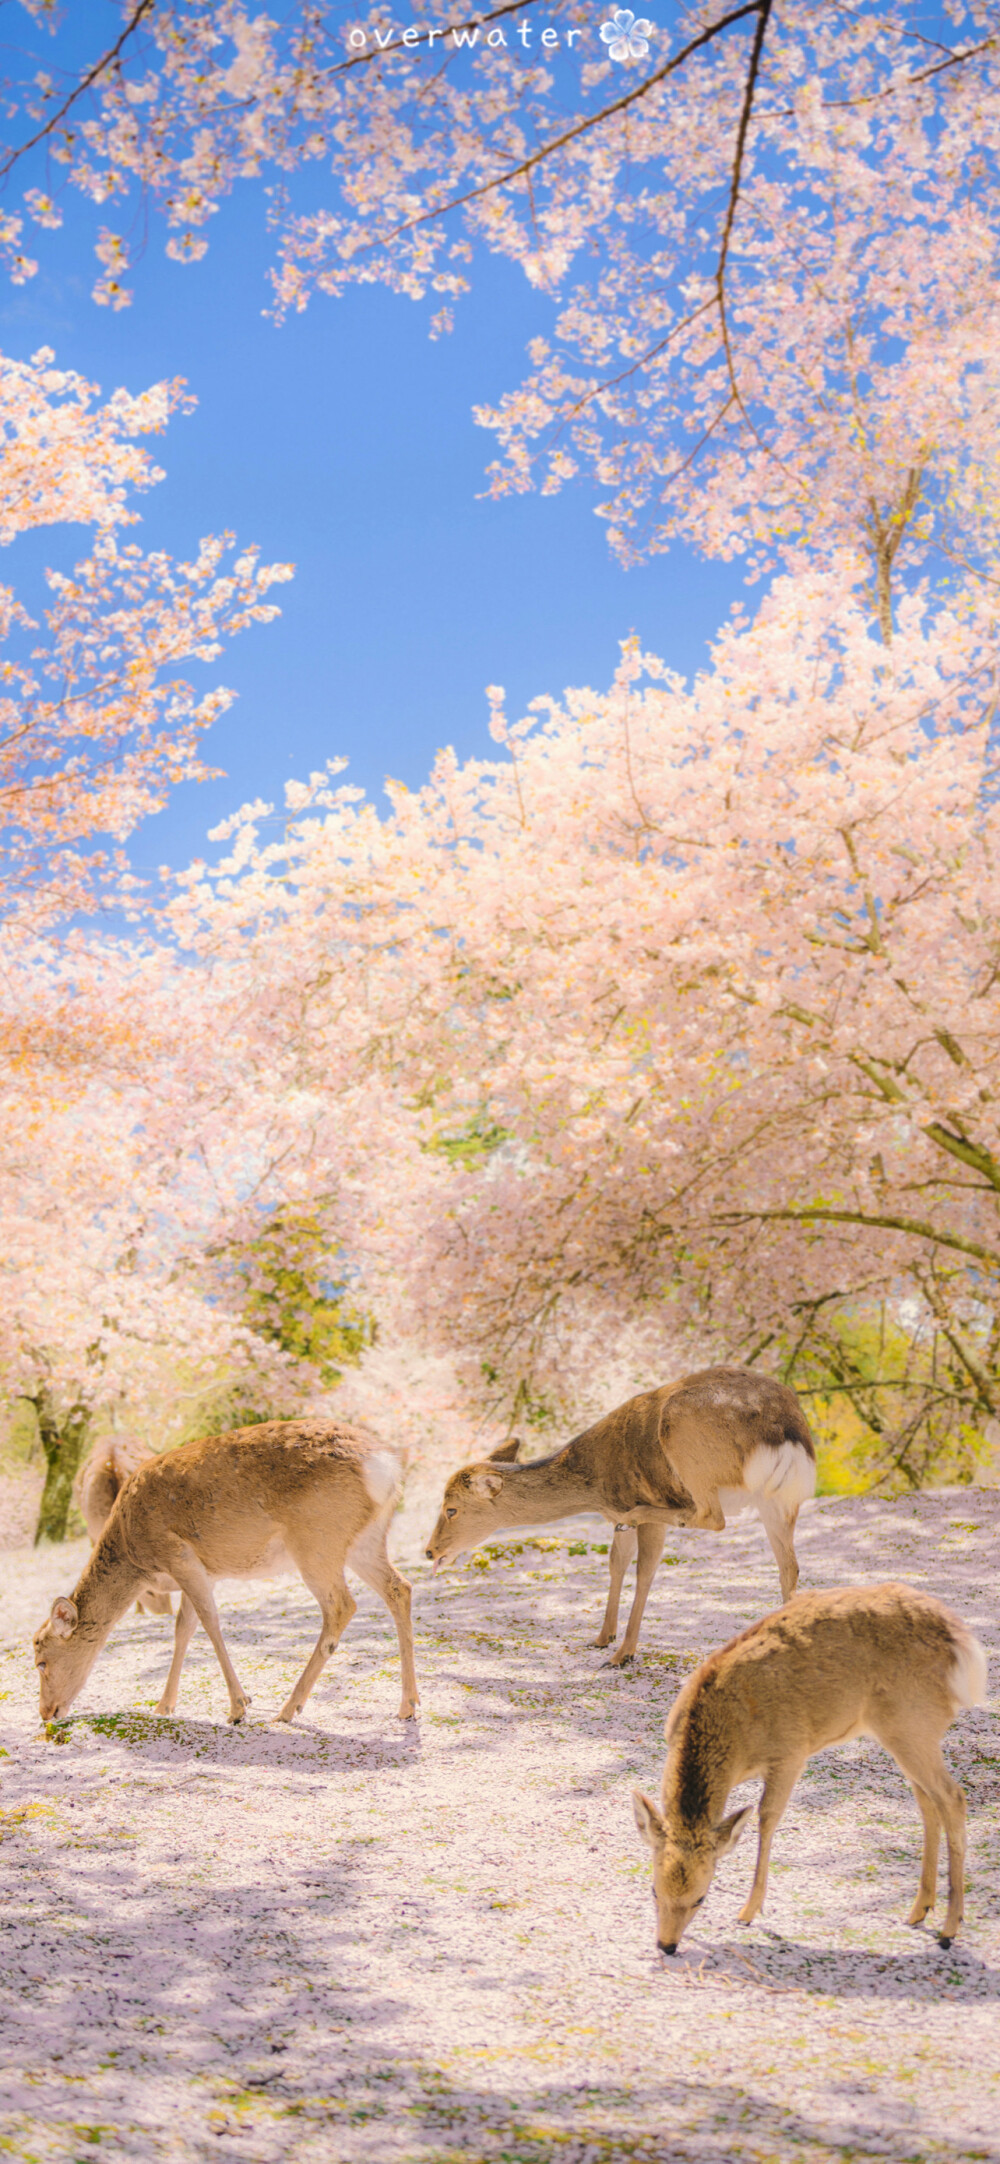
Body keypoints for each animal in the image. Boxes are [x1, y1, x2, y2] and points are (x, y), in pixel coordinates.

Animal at [426, 1376, 818, 1661]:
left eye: (451, 1508)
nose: (430, 1551)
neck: (595, 1487)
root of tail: (784, 1429)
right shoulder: (612, 1516)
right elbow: (616, 1562)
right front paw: (602, 1637)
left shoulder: (643, 1507)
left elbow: (644, 1571)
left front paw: (623, 1653)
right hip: (778, 1501)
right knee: (789, 1565)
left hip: (687, 1449)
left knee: (712, 1516)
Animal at [632, 1584, 982, 1956]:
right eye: (654, 1890)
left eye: (701, 1898)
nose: (666, 1944)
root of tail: (962, 1645)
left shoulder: (790, 1752)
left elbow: (767, 1817)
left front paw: (748, 1911)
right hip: (905, 1732)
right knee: (928, 1801)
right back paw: (919, 1911)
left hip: (913, 1721)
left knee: (953, 1797)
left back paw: (948, 1929)